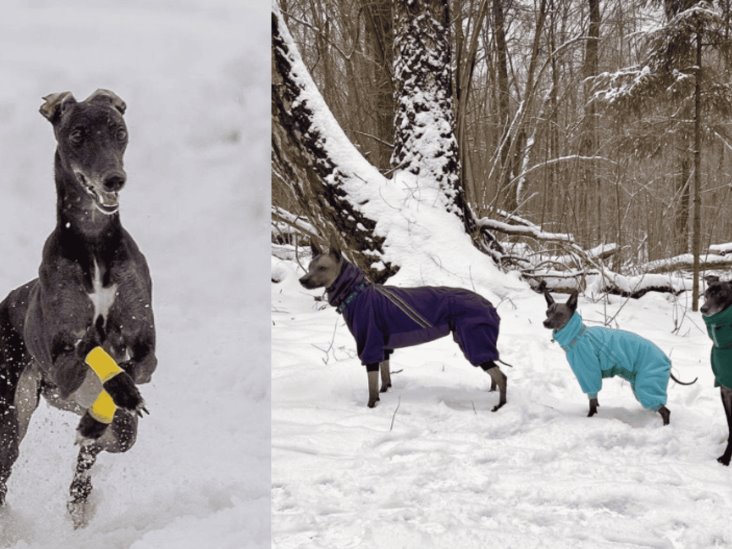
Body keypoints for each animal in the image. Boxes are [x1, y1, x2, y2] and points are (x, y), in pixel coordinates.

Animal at [0, 91, 156, 528]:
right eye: (77, 135)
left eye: (118, 131)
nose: (113, 179)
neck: (93, 241)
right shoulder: (61, 361)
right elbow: (90, 344)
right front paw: (117, 386)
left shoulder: (146, 344)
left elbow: (133, 368)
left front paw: (105, 410)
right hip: (12, 414)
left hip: (60, 400)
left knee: (107, 439)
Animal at [298, 245, 508, 412]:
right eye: (309, 267)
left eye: (322, 268)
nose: (302, 280)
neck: (356, 293)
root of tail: (491, 306)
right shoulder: (383, 347)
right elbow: (385, 378)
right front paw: (385, 393)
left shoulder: (369, 344)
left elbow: (372, 386)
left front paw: (371, 407)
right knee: (495, 373)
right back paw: (491, 392)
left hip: (474, 341)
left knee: (501, 376)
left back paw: (500, 405)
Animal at [540, 292, 696, 424]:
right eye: (548, 312)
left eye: (559, 314)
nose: (545, 322)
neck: (578, 335)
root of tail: (667, 361)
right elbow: (595, 401)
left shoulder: (589, 374)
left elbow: (592, 401)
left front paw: (590, 419)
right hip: (642, 385)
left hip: (648, 384)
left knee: (666, 411)